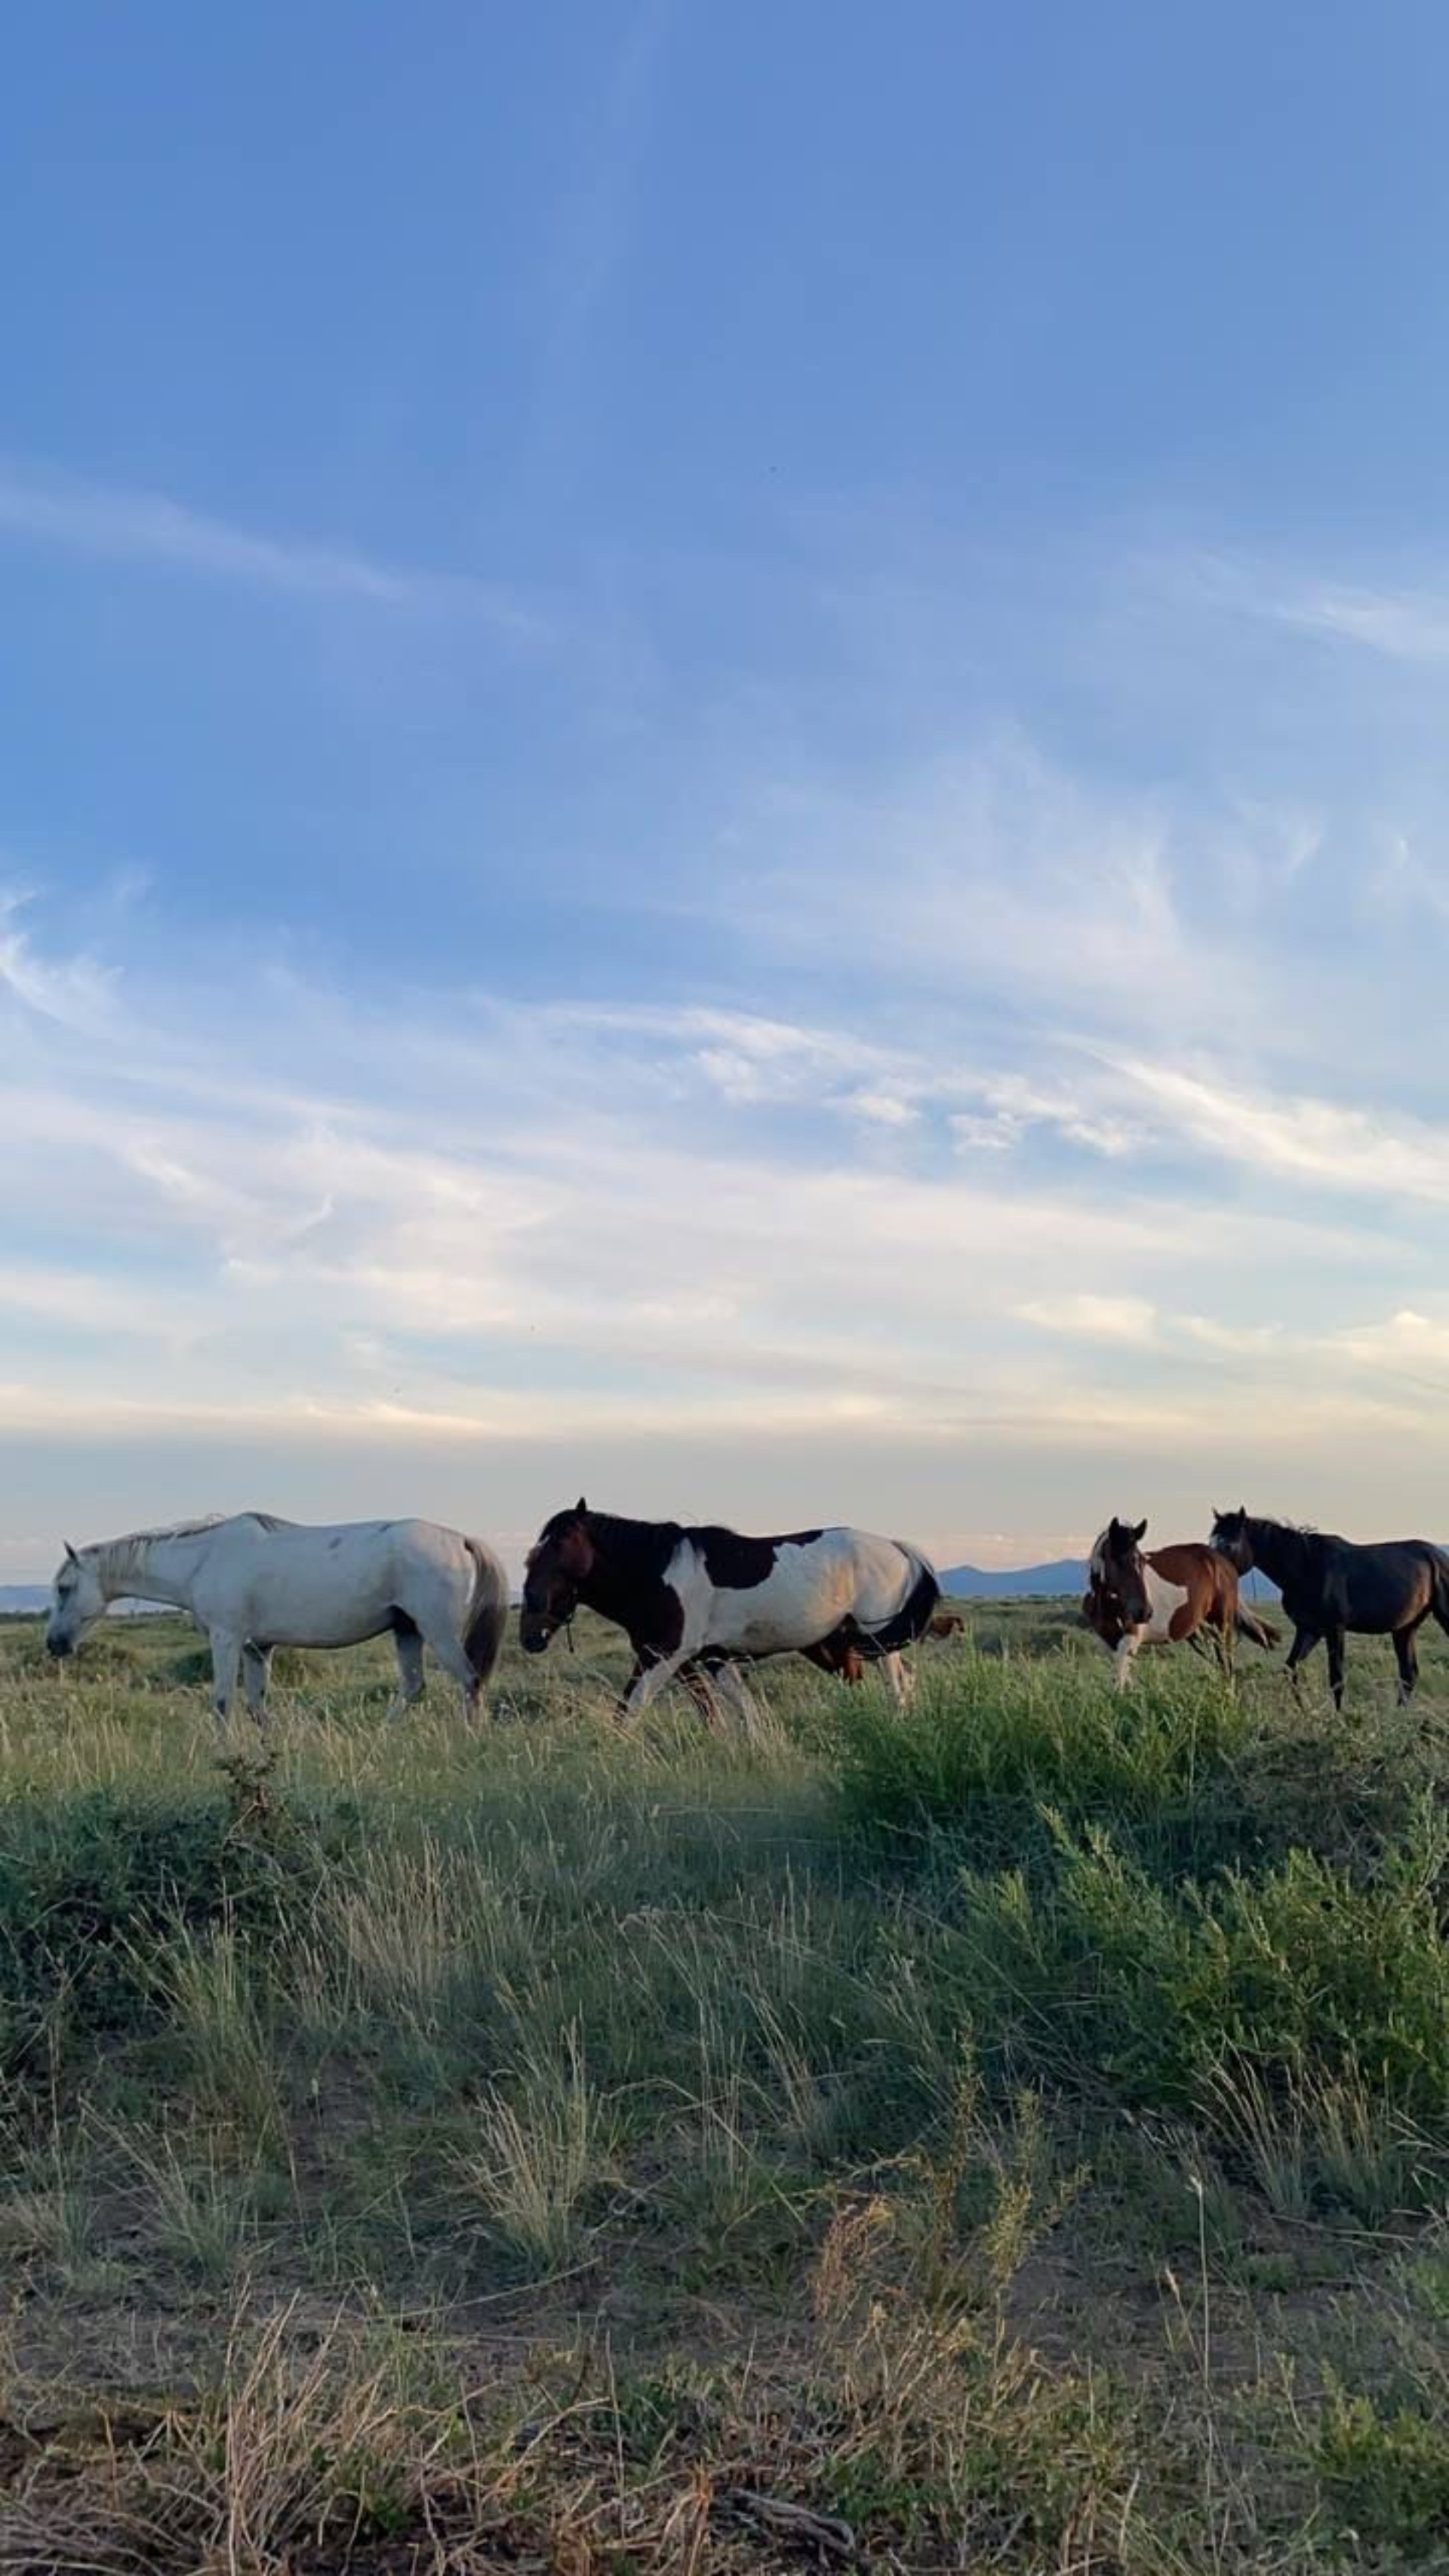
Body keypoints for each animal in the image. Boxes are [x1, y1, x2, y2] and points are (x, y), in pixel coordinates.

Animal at [46, 1504, 509, 1731]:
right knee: (414, 1688)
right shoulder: (258, 1648)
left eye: (64, 1588)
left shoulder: (227, 1639)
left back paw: (471, 1739)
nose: (54, 1645)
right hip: (407, 1630)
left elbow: (222, 1702)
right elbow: (256, 1707)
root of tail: (460, 1539)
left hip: (437, 1631)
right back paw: (384, 1736)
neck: (204, 1559)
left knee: (471, 1682)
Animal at [522, 1504, 942, 1720]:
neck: (657, 1571)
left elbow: (630, 1708)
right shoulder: (706, 1658)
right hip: (842, 1644)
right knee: (889, 1680)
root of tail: (897, 1548)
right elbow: (733, 1712)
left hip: (877, 1641)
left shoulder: (663, 1654)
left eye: (560, 1543)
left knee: (898, 1687)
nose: (530, 1636)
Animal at [1091, 1504, 1281, 1689]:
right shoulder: (1108, 1644)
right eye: (1118, 1561)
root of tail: (1223, 1563)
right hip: (1204, 1632)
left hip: (1222, 1626)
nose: (1144, 1612)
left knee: (1227, 1667)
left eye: (1143, 1562)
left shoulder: (1129, 1643)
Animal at [1209, 1504, 1449, 1710]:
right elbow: (1291, 1668)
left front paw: (1338, 1719)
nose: (1215, 1574)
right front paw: (1304, 1711)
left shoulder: (1335, 1629)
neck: (1305, 1567)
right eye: (1212, 1543)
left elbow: (1337, 1679)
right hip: (1404, 1628)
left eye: (1229, 1545)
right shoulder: (1309, 1630)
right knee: (1408, 1674)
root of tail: (1438, 1557)